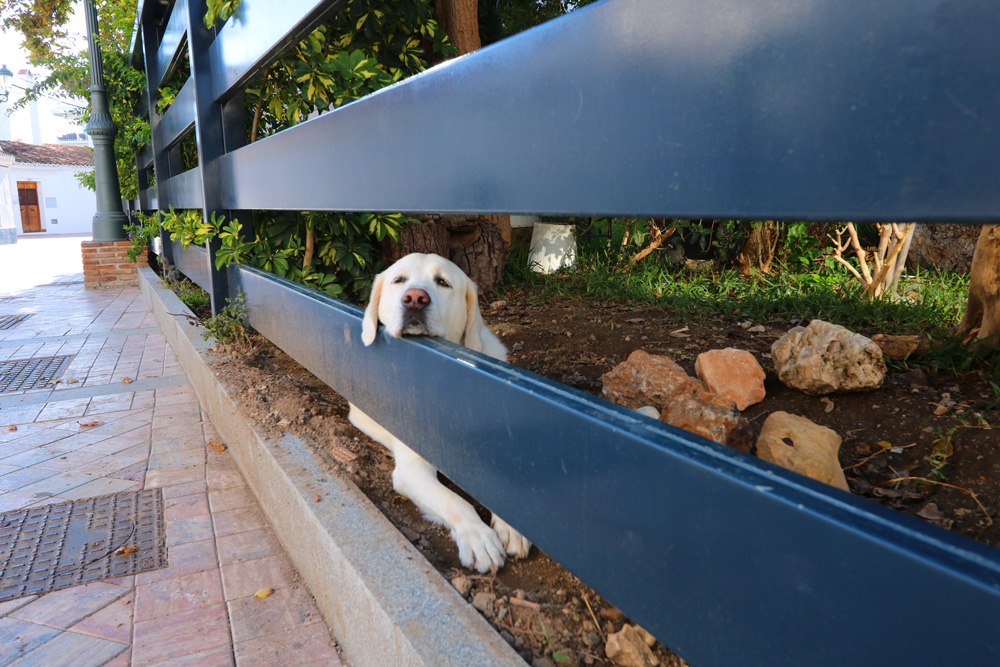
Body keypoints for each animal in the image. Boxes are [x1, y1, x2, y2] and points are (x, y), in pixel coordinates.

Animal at [348, 253, 532, 572]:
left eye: (443, 282)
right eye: (399, 280)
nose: (415, 298)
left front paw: (512, 526)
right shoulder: (412, 470)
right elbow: (455, 501)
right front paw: (479, 537)